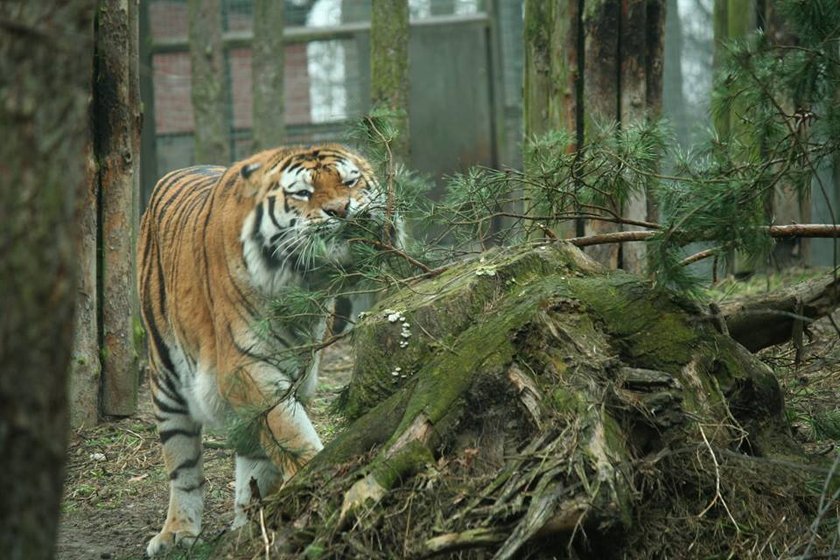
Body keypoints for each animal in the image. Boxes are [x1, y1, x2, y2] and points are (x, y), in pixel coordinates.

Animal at [138, 144, 390, 556]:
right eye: (303, 193)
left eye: (350, 182)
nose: (341, 210)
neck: (305, 282)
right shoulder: (243, 367)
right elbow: (290, 432)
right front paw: (315, 477)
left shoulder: (297, 372)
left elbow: (274, 442)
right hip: (167, 380)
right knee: (182, 466)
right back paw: (177, 533)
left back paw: (247, 524)